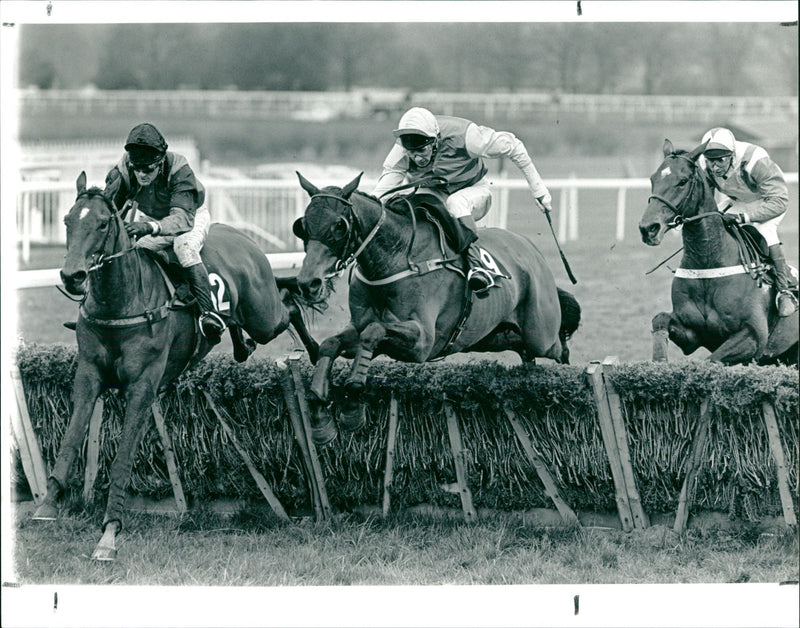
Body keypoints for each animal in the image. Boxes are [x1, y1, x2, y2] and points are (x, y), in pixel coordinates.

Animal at [32, 172, 318, 560]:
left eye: (104, 223)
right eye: (67, 221)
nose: (72, 276)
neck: (121, 301)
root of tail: (246, 241)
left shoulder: (142, 385)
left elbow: (122, 459)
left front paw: (109, 533)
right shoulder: (89, 375)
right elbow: (71, 438)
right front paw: (47, 505)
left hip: (264, 315)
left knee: (288, 306)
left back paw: (316, 351)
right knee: (260, 320)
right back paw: (240, 342)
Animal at [290, 174, 580, 444]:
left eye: (339, 225)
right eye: (302, 226)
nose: (308, 283)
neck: (393, 259)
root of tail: (531, 250)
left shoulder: (423, 342)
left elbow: (373, 332)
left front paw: (352, 402)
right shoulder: (358, 327)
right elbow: (332, 343)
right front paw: (319, 411)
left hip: (540, 334)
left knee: (558, 347)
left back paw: (567, 370)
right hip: (492, 337)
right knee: (523, 351)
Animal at [640, 140, 796, 366]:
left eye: (683, 181)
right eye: (653, 178)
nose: (648, 228)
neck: (708, 262)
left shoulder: (754, 336)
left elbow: (710, 361)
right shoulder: (693, 335)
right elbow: (660, 318)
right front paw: (659, 360)